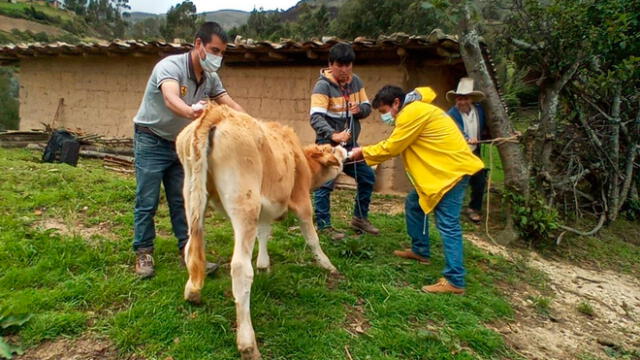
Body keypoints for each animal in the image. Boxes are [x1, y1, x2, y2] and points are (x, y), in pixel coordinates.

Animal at [175, 102, 344, 358]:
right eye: (332, 149)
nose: (345, 148)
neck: (301, 160)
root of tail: (217, 112)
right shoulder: (302, 201)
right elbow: (311, 237)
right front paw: (327, 265)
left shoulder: (266, 208)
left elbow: (264, 234)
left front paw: (264, 264)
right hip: (245, 204)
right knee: (240, 269)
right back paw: (248, 344)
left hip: (192, 196)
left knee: (190, 249)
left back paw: (193, 293)